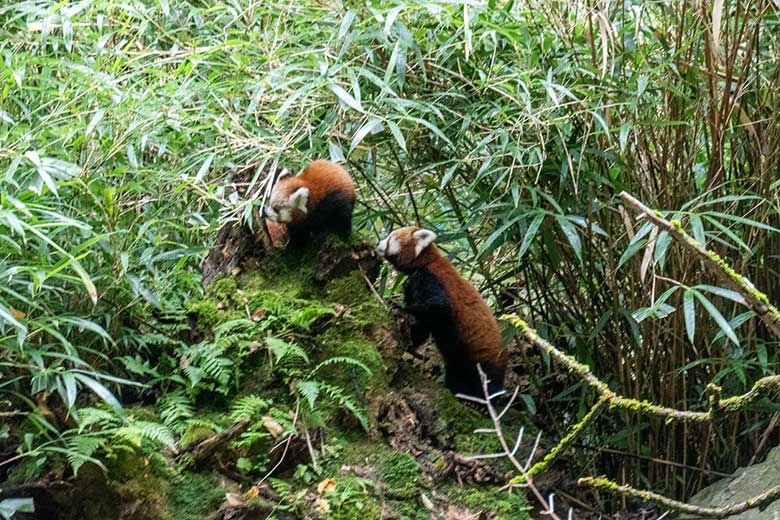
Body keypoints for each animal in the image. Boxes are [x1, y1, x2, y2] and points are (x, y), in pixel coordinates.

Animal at [376, 228, 508, 398]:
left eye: (391, 238)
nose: (377, 243)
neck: (424, 264)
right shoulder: (411, 286)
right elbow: (423, 327)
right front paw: (411, 340)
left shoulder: (432, 280)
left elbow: (438, 306)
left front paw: (399, 308)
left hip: (485, 359)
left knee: (489, 384)